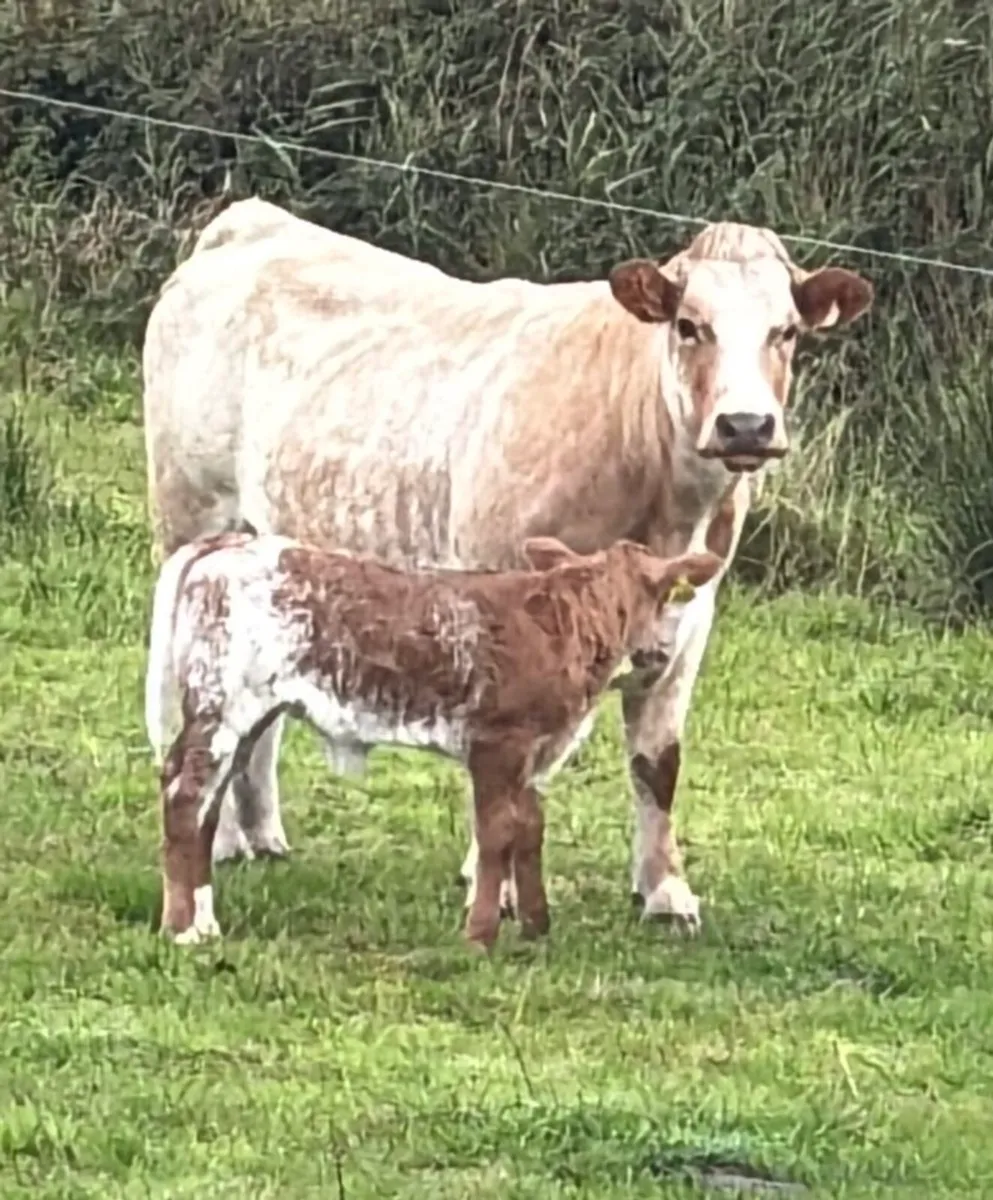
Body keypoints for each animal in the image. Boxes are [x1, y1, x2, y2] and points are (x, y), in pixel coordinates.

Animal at [145, 528, 722, 949]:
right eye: (663, 599)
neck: (569, 622)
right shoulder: (496, 742)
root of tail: (226, 544)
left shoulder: (534, 751)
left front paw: (536, 925)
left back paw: (203, 920)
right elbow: (496, 832)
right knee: (185, 797)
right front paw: (480, 934)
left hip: (245, 716)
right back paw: (185, 930)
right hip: (221, 707)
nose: (659, 655)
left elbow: (530, 827)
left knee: (208, 805)